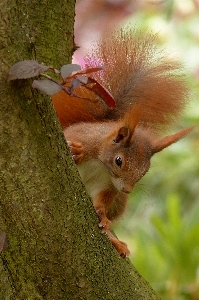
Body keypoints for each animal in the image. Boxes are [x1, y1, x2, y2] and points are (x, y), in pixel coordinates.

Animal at [51, 29, 193, 256]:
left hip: (119, 204)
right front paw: (76, 151)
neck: (100, 163)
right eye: (119, 161)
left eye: (145, 170)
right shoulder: (82, 137)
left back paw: (117, 243)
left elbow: (102, 202)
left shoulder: (108, 186)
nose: (126, 190)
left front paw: (103, 217)